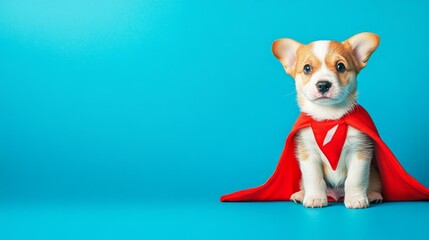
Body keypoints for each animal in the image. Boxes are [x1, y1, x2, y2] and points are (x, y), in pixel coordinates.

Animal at [270, 32, 382, 208]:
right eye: (307, 68)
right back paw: (301, 194)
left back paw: (372, 195)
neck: (329, 118)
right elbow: (313, 177)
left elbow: (355, 179)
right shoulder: (308, 153)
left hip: (375, 175)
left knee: (372, 184)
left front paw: (356, 199)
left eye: (340, 66)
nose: (323, 84)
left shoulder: (360, 151)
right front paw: (315, 198)